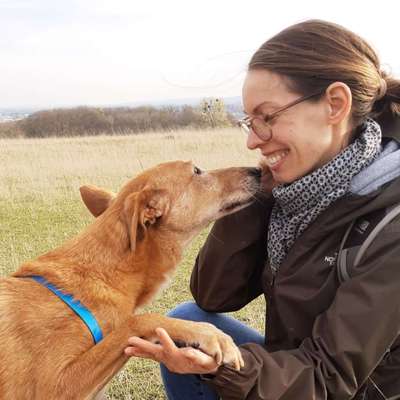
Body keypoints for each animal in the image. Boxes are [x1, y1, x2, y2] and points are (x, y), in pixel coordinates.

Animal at [0, 161, 260, 398]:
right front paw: (209, 334)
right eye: (196, 171)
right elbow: (138, 321)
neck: (102, 275)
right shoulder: (56, 387)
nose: (257, 170)